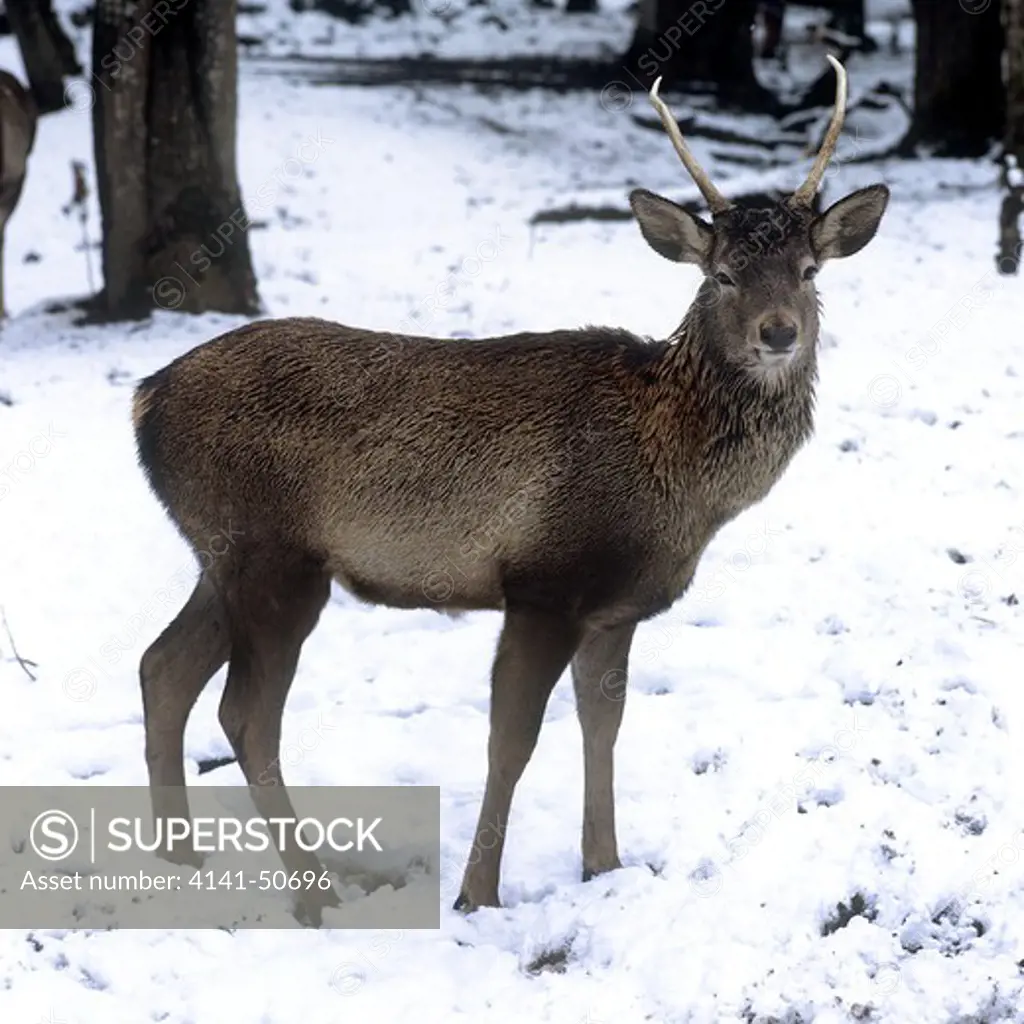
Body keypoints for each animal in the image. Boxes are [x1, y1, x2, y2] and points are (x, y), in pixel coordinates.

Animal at [132, 56, 888, 925]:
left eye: (808, 271)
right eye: (723, 274)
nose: (778, 331)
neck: (675, 482)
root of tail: (143, 400)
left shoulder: (617, 604)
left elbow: (603, 723)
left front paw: (604, 865)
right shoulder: (542, 583)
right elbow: (512, 740)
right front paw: (477, 895)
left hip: (222, 554)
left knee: (163, 667)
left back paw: (179, 857)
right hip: (273, 556)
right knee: (245, 715)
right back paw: (314, 888)